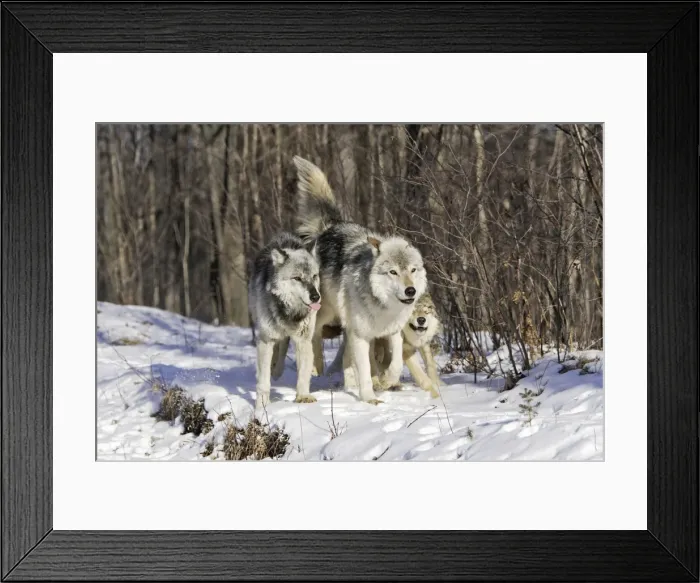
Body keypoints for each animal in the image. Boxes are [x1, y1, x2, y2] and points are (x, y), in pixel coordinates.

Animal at [248, 232, 321, 411]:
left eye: (314, 276)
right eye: (298, 278)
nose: (315, 297)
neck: (290, 312)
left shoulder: (303, 340)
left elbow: (303, 374)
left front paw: (303, 397)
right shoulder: (265, 340)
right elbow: (263, 382)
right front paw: (261, 407)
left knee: (282, 348)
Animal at [293, 156, 427, 404]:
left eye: (412, 270)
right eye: (393, 272)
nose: (411, 291)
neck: (383, 306)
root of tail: (332, 225)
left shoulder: (392, 332)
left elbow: (395, 363)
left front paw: (386, 382)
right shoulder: (361, 336)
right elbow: (364, 369)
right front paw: (369, 398)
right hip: (325, 311)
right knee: (313, 336)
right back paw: (316, 367)